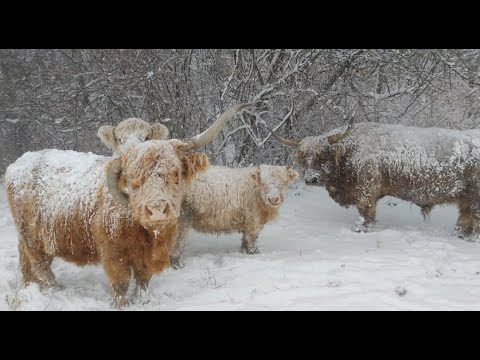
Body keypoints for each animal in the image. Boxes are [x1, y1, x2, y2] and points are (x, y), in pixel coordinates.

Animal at [4, 102, 251, 308]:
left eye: (175, 172)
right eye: (133, 178)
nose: (157, 209)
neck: (142, 230)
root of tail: (21, 162)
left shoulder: (147, 256)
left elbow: (143, 280)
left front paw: (144, 301)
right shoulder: (113, 254)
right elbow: (121, 282)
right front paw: (122, 304)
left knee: (27, 262)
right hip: (32, 236)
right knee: (40, 264)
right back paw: (55, 290)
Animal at [168, 165, 296, 268]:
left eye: (283, 182)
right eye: (264, 183)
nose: (273, 199)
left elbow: (245, 239)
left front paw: (244, 251)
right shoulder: (253, 220)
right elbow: (251, 239)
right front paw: (253, 253)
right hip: (182, 219)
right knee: (178, 241)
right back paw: (177, 263)